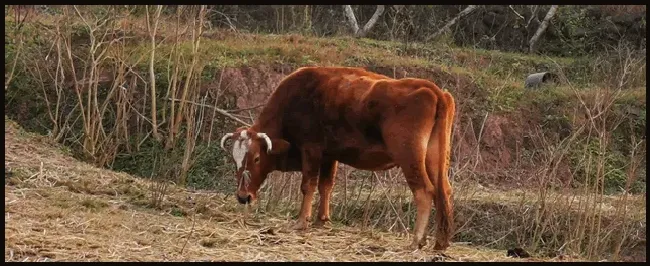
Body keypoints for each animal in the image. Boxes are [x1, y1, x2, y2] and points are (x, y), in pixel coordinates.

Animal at [220, 66, 454, 251]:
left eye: (256, 158)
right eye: (235, 160)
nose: (243, 196)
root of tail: (433, 90)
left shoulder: (311, 150)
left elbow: (308, 185)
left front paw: (301, 221)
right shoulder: (328, 156)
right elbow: (326, 186)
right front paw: (321, 219)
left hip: (409, 158)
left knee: (424, 191)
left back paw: (416, 240)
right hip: (434, 160)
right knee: (443, 191)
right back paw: (440, 242)